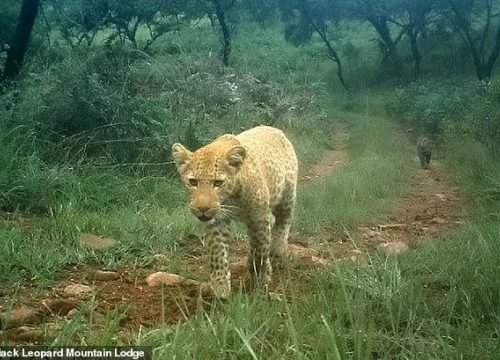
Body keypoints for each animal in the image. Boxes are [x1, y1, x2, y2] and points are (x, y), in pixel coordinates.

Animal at [172, 125, 296, 296]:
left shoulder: (258, 217)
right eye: (193, 182)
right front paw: (220, 287)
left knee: (284, 220)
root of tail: (273, 128)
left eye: (218, 183)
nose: (203, 208)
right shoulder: (217, 222)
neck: (231, 197)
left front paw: (261, 279)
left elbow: (260, 251)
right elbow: (218, 252)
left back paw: (277, 248)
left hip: (287, 196)